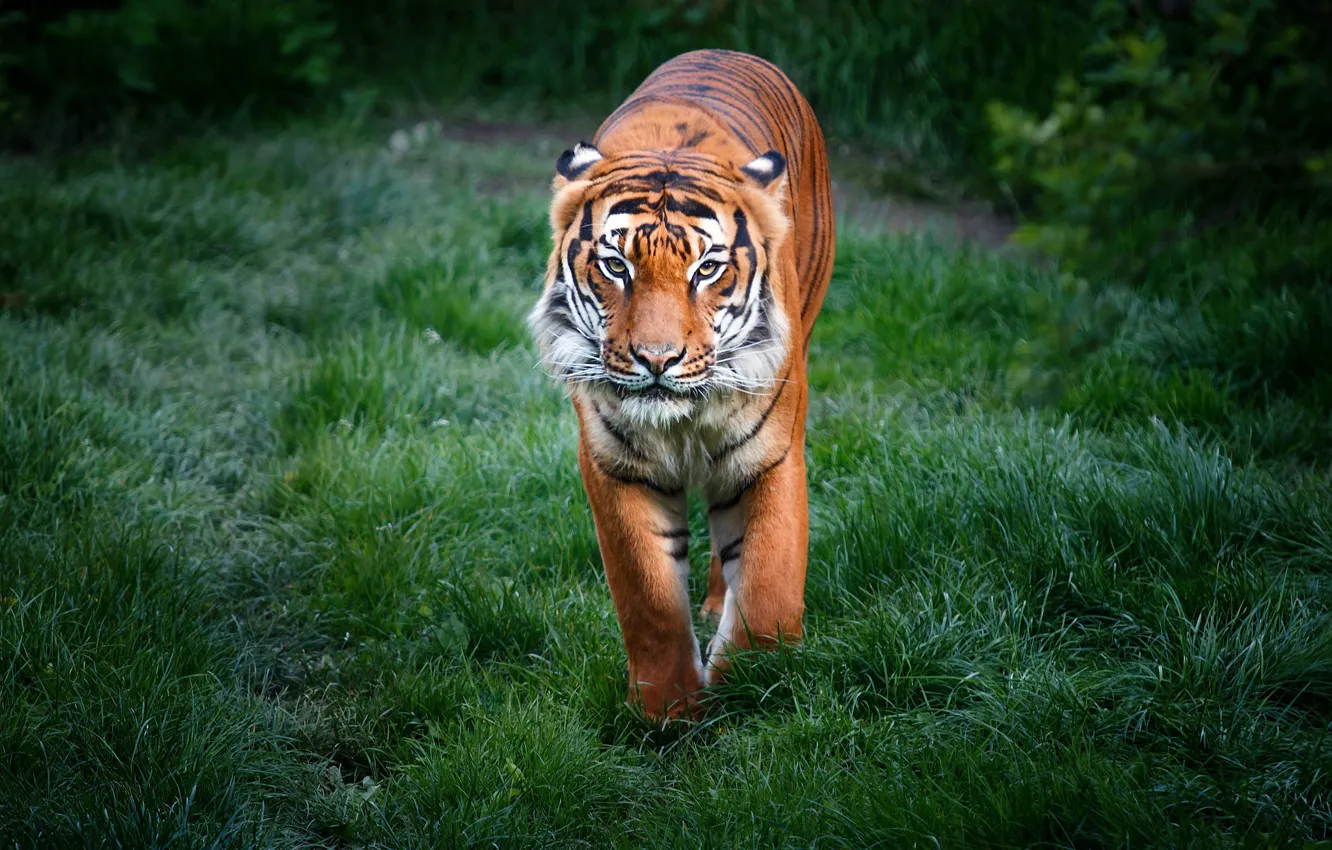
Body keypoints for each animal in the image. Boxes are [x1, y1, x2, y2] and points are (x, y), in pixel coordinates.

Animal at [528, 49, 835, 719]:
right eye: (616, 265)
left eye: (708, 269)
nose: (657, 358)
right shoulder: (615, 464)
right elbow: (649, 599)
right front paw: (669, 714)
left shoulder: (771, 456)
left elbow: (768, 595)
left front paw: (747, 696)